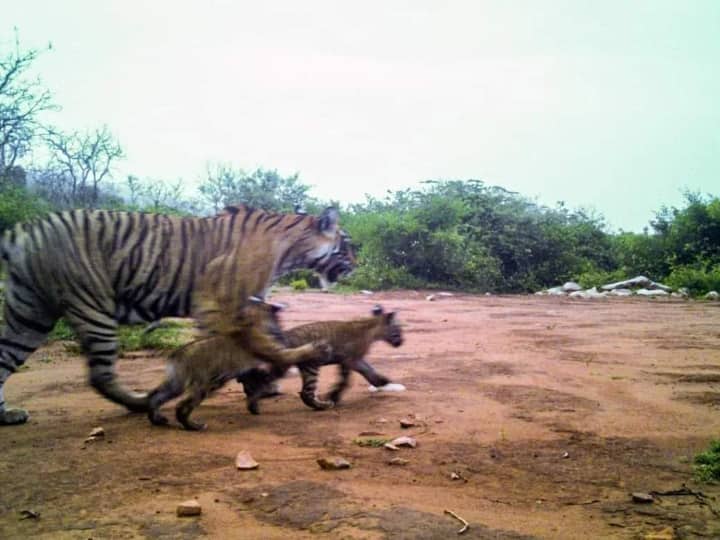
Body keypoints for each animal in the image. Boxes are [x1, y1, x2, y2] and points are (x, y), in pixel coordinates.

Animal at [147, 298, 328, 430]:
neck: (253, 320)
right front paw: (317, 347)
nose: (281, 330)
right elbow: (294, 352)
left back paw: (158, 419)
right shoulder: (274, 352)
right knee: (181, 406)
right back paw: (194, 426)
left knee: (154, 397)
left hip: (174, 384)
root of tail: (178, 353)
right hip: (204, 384)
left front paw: (255, 405)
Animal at [239, 305, 404, 414]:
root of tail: (285, 336)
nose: (402, 342)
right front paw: (334, 396)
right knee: (305, 393)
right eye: (399, 330)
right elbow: (346, 380)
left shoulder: (355, 359)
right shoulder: (349, 360)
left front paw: (381, 381)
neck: (372, 328)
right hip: (311, 366)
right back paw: (324, 405)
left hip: (285, 365)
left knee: (265, 380)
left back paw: (252, 405)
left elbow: (368, 370)